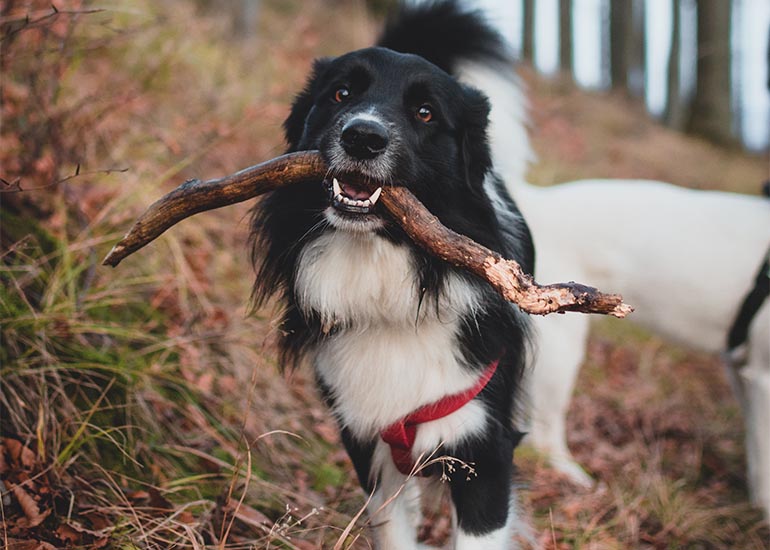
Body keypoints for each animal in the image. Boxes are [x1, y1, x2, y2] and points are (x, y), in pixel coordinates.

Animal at [249, 2, 532, 548]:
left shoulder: (483, 451)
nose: (362, 136)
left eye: (425, 113)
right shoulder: (367, 443)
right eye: (341, 93)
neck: (384, 271)